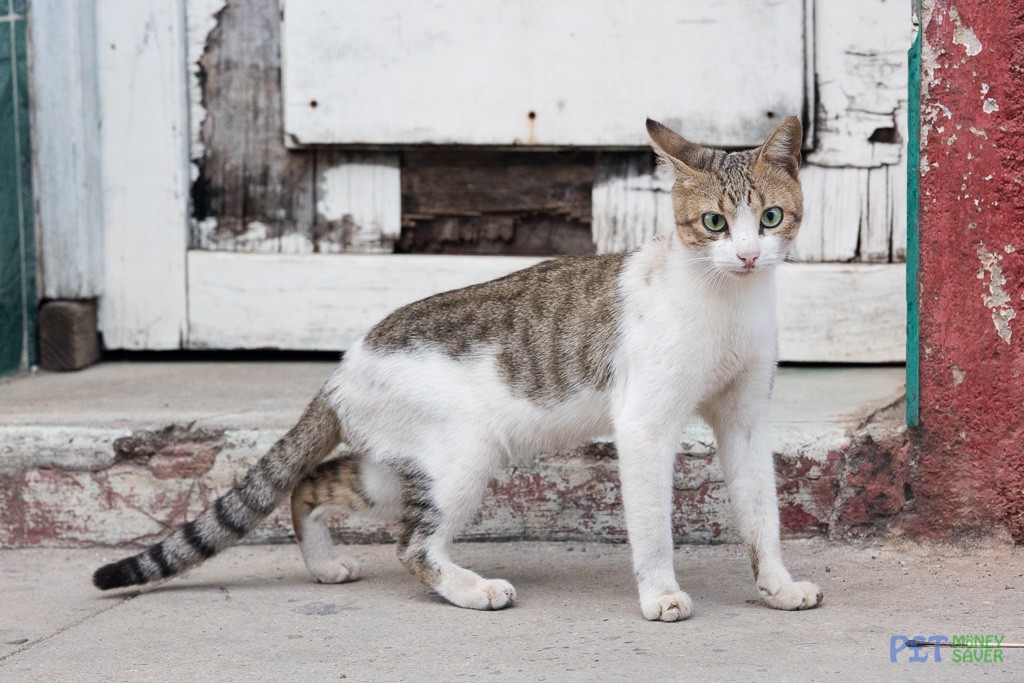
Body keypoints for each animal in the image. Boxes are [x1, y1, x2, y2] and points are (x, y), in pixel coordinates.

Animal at [96, 116, 823, 618]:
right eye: (713, 223)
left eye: (770, 217)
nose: (749, 256)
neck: (728, 301)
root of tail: (344, 366)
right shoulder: (645, 425)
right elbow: (652, 528)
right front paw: (661, 595)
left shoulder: (746, 421)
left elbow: (762, 512)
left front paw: (778, 585)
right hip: (462, 459)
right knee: (411, 546)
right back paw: (473, 589)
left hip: (397, 467)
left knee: (312, 482)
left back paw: (324, 566)